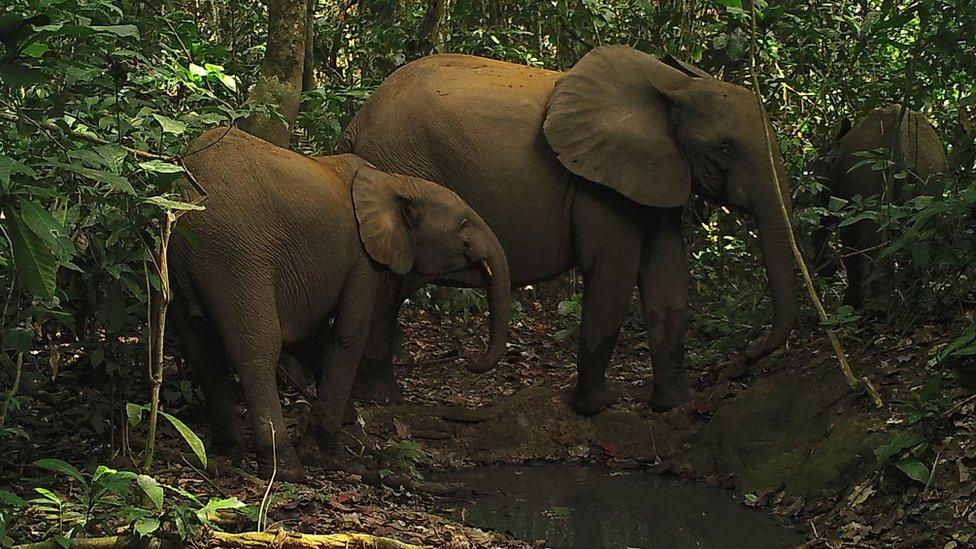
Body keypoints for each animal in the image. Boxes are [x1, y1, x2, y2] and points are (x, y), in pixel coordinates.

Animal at [170, 126, 510, 478]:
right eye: (463, 226)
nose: (471, 361)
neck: (396, 183)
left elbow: (308, 338)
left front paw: (347, 420)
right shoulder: (362, 257)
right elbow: (349, 333)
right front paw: (326, 456)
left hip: (184, 257)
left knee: (199, 345)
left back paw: (228, 453)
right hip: (238, 255)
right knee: (257, 349)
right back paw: (286, 469)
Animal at [340, 46, 796, 416]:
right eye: (725, 150)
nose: (738, 365)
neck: (674, 84)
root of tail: (356, 124)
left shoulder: (655, 173)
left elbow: (667, 274)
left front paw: (676, 404)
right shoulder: (597, 182)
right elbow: (613, 270)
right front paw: (598, 406)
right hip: (398, 164)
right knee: (390, 282)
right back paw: (383, 398)